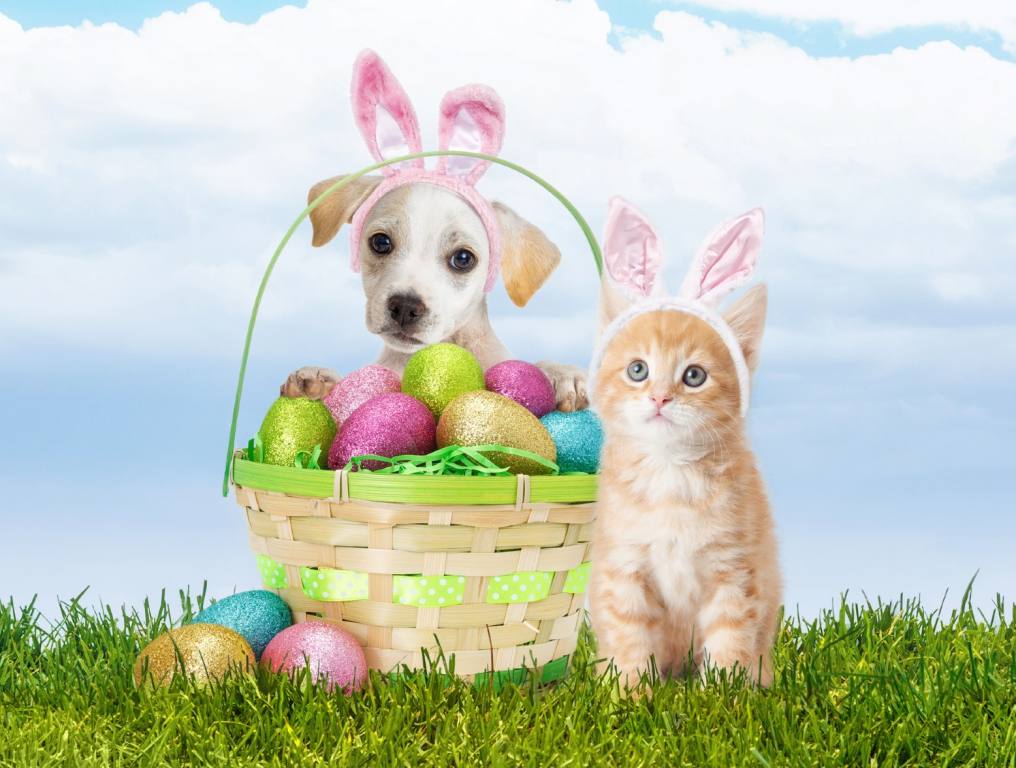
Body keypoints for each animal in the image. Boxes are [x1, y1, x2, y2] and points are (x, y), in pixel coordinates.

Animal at [585, 198, 780, 690]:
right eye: (638, 370)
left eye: (694, 375)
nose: (659, 397)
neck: (669, 474)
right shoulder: (624, 567)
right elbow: (629, 637)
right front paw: (630, 694)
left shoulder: (735, 569)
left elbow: (730, 638)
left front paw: (723, 696)